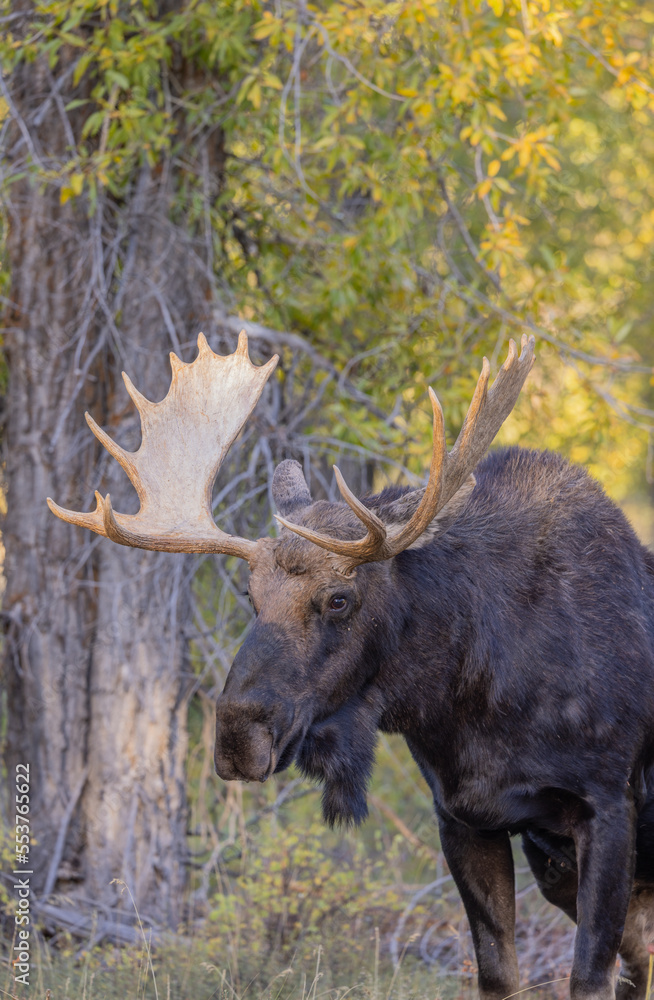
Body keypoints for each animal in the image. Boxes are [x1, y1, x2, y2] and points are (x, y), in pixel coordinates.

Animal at [49, 332, 654, 1000]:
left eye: (339, 598)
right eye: (249, 594)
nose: (236, 735)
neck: (473, 697)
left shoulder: (607, 809)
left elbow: (588, 977)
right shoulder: (465, 817)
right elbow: (499, 973)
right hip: (558, 868)